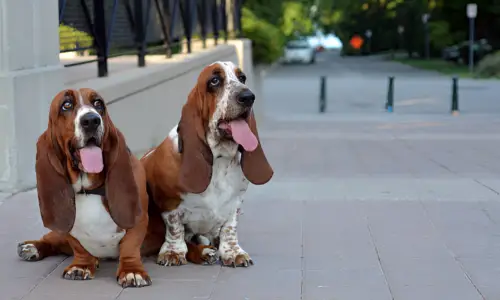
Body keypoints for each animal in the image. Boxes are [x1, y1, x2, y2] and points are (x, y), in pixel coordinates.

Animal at [16, 88, 151, 288]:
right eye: (66, 105)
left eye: (98, 104)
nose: (91, 120)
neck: (88, 190)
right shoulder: (69, 229)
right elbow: (79, 247)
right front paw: (82, 266)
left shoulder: (139, 219)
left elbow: (130, 245)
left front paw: (132, 271)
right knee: (51, 240)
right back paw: (32, 247)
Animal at [140, 61, 274, 268]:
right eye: (215, 80)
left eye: (242, 78)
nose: (248, 97)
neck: (219, 159)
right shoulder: (169, 204)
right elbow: (175, 229)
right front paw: (173, 252)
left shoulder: (234, 205)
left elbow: (229, 229)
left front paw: (233, 253)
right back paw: (203, 252)